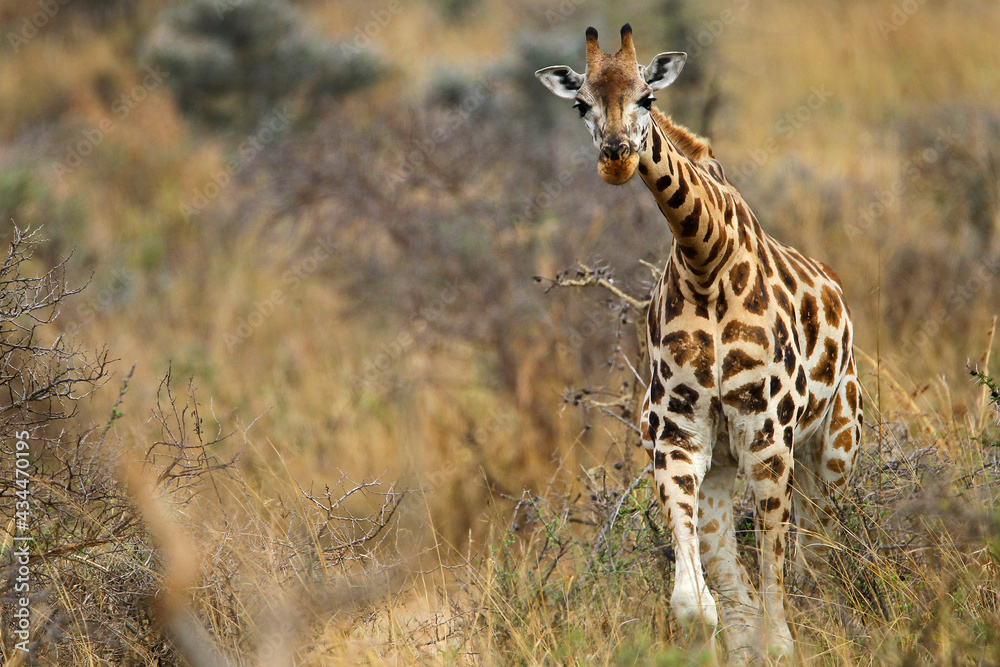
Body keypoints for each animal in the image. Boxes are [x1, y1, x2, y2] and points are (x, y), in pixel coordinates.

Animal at [535, 25, 862, 660]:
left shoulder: (767, 430)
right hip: (724, 468)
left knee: (819, 556)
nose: (617, 158)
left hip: (835, 446)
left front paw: (784, 646)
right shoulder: (676, 434)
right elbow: (700, 606)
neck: (705, 260)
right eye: (581, 104)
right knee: (749, 585)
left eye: (648, 98)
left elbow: (775, 593)